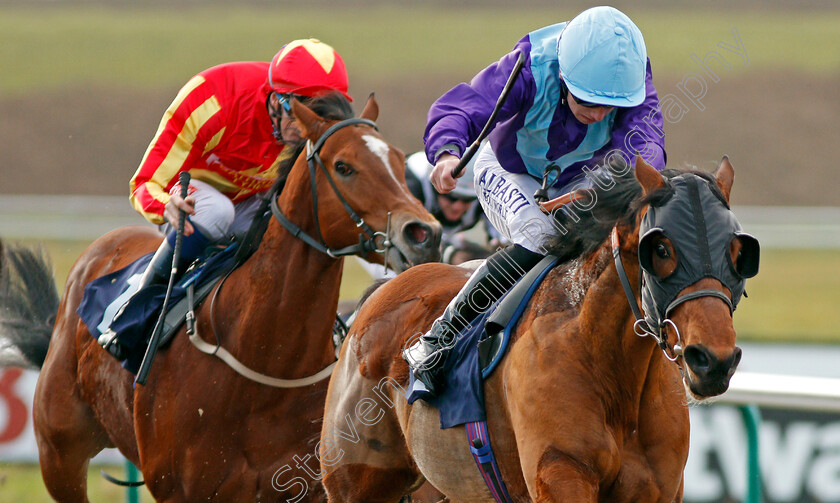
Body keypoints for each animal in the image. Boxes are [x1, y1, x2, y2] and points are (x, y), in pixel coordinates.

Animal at [0, 96, 442, 502]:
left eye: (399, 161)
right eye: (344, 166)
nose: (423, 233)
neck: (266, 361)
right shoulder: (184, 489)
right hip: (59, 453)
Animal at [318, 156, 756, 502]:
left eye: (738, 253)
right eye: (661, 248)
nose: (713, 360)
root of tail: (379, 295)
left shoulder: (657, 487)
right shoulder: (560, 471)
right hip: (355, 481)